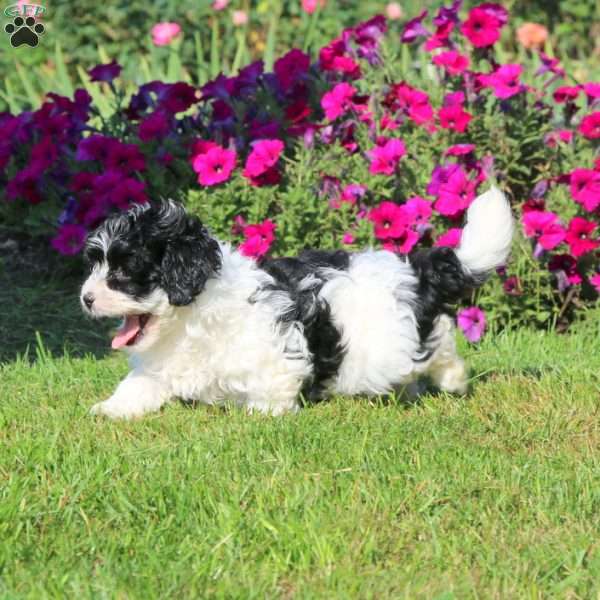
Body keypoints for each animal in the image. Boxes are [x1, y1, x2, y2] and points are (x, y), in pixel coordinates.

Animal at [78, 186, 510, 418]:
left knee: (439, 347)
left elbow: (271, 390)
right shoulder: (160, 367)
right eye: (96, 263)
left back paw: (453, 379)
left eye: (124, 271)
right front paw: (110, 409)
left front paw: (262, 415)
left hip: (399, 343)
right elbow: (138, 386)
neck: (189, 319)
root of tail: (414, 270)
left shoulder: (276, 355)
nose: (86, 298)